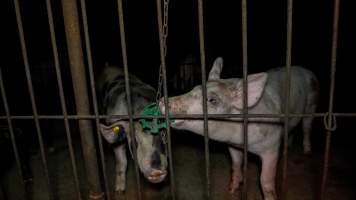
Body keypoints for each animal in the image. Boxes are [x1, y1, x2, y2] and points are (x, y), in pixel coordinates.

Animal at [160, 56, 318, 200]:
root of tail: (305, 69)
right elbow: (235, 165)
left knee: (307, 128)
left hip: (311, 105)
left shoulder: (271, 146)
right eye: (194, 88)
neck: (244, 142)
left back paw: (307, 152)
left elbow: (265, 180)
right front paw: (231, 190)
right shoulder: (233, 145)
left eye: (212, 100)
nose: (162, 101)